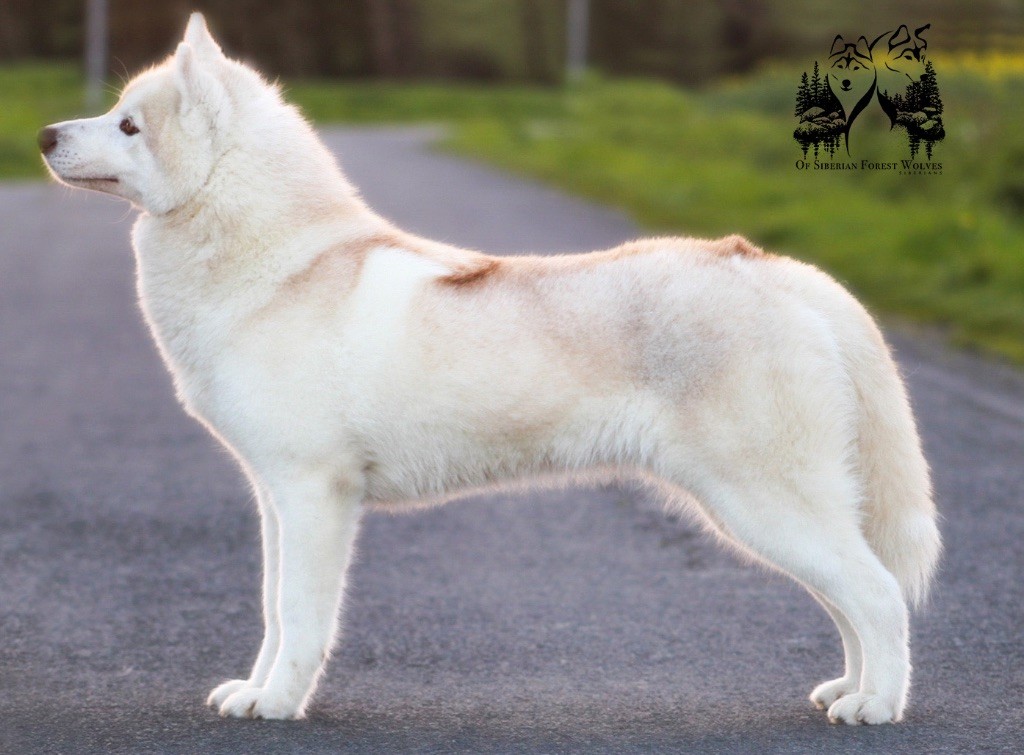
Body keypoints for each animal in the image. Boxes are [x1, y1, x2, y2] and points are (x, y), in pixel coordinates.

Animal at [37, 14, 937, 725]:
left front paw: (280, 703)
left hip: (764, 503)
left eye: (128, 126)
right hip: (777, 512)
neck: (279, 261)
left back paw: (877, 705)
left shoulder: (315, 492)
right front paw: (256, 690)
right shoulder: (274, 497)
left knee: (878, 595)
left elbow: (300, 616)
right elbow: (270, 609)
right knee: (852, 601)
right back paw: (849, 689)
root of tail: (789, 273)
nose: (43, 136)